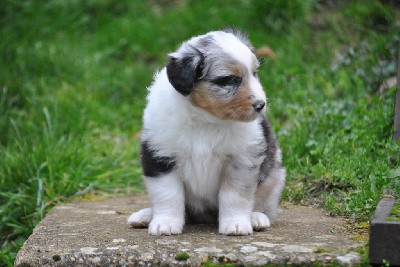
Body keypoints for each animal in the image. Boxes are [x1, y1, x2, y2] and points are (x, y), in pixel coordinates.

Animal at [127, 29, 284, 237]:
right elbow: (167, 193)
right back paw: (145, 216)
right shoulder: (160, 154)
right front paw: (165, 223)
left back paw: (257, 217)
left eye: (254, 73)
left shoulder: (241, 159)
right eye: (229, 80)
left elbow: (235, 195)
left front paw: (235, 224)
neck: (205, 119)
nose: (261, 105)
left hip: (274, 177)